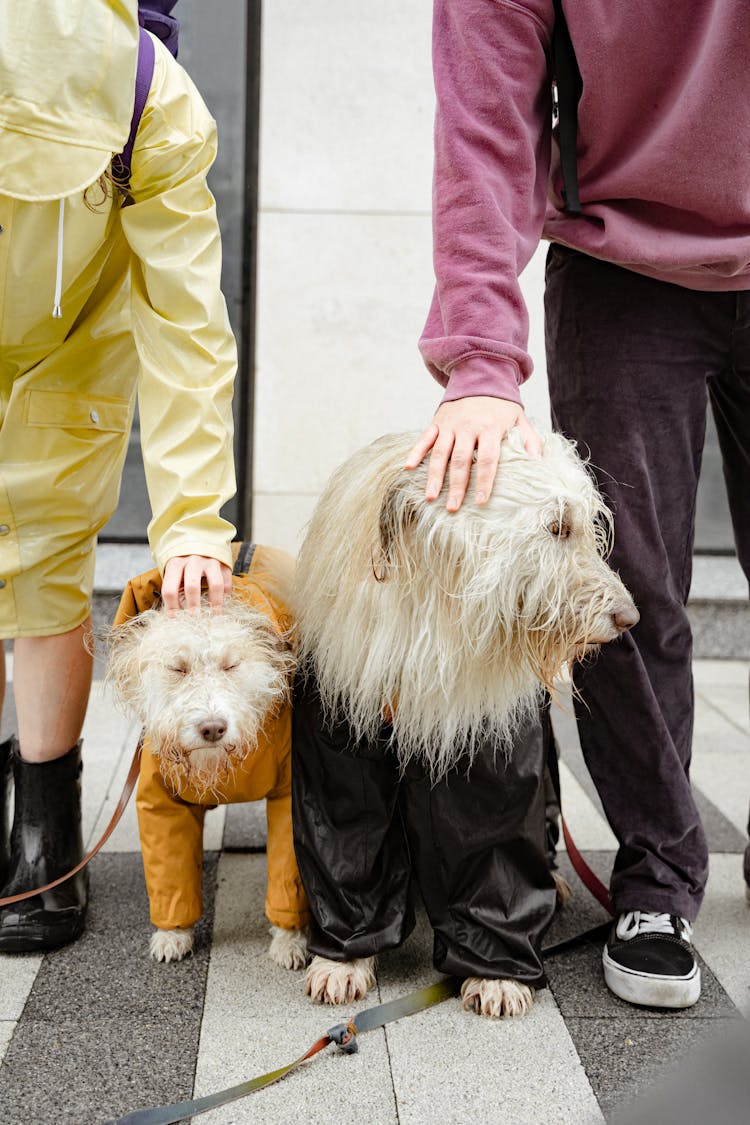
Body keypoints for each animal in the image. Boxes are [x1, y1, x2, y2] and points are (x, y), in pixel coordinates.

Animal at [107, 544, 310, 967]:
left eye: (231, 664)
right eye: (177, 668)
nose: (213, 728)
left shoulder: (290, 795)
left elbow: (288, 871)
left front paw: (289, 939)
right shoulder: (161, 800)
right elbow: (171, 870)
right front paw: (173, 933)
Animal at [290, 429, 638, 1021]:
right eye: (556, 527)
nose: (628, 618)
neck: (438, 616)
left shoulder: (490, 753)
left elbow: (493, 851)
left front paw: (496, 975)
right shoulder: (340, 748)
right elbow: (348, 844)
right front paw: (343, 961)